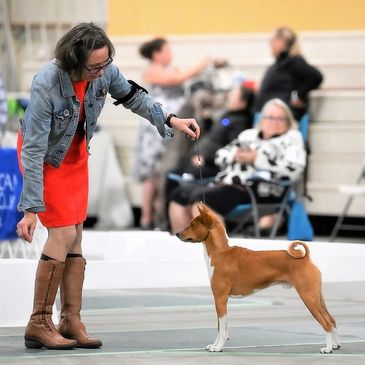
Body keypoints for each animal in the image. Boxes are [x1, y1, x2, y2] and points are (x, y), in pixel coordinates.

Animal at [175, 202, 340, 352]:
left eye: (192, 224)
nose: (177, 233)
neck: (221, 253)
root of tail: (306, 259)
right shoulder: (219, 299)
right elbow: (220, 327)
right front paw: (214, 345)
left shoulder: (220, 298)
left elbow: (221, 328)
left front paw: (218, 347)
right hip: (317, 297)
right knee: (332, 320)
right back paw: (336, 345)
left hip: (308, 297)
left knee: (326, 323)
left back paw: (328, 349)